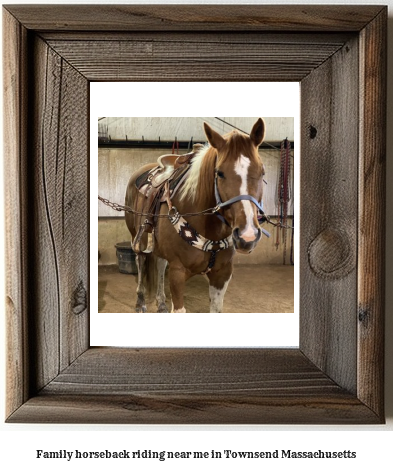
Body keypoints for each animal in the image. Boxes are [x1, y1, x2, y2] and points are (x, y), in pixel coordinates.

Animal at [125, 117, 266, 312]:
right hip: (138, 237)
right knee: (141, 261)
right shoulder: (177, 273)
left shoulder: (222, 274)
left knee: (160, 264)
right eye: (219, 173)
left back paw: (161, 303)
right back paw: (140, 302)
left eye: (262, 172)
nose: (248, 236)